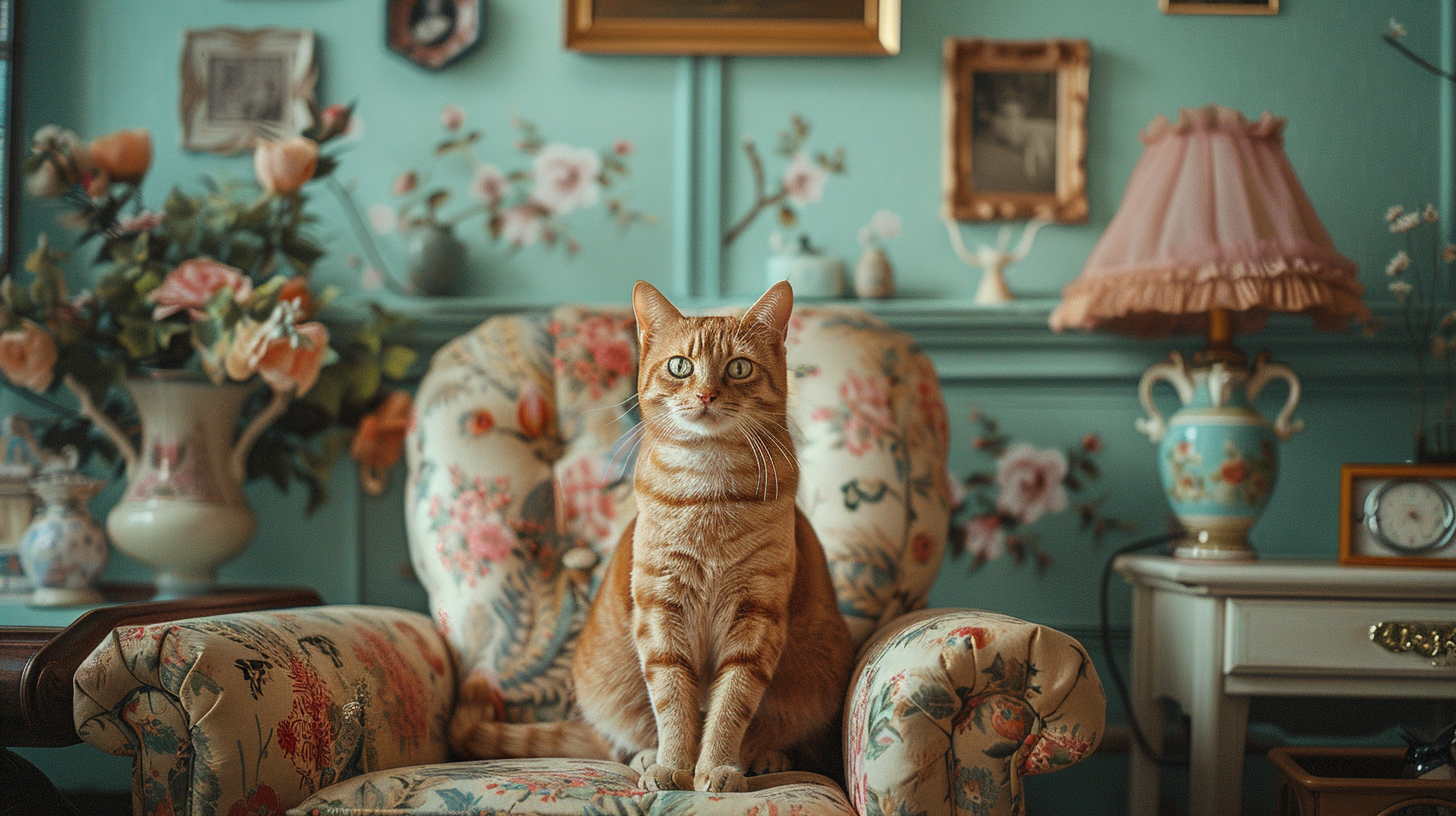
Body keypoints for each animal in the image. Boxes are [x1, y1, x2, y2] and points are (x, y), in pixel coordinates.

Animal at [448, 279, 850, 792]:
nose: (706, 395)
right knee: (622, 739)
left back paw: (763, 757)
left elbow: (730, 705)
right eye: (681, 366)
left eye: (738, 367)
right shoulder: (662, 609)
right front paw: (673, 766)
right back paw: (645, 757)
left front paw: (717, 767)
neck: (710, 493)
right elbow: (674, 700)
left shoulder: (756, 614)